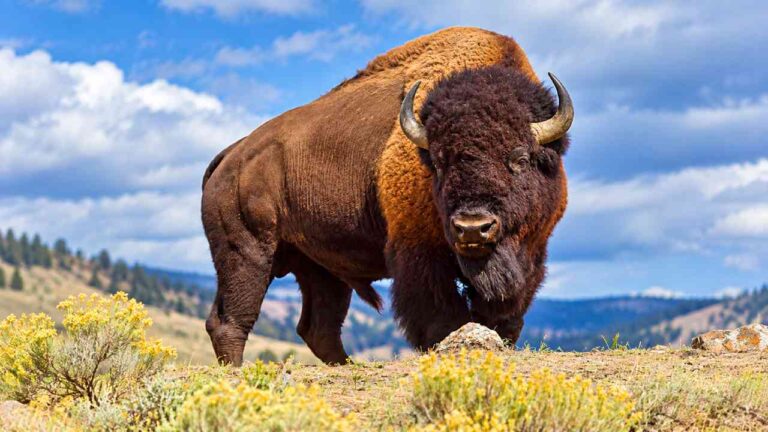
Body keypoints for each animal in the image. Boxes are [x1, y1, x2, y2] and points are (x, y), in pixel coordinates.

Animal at [201, 27, 573, 365]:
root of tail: (232, 155)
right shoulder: (419, 255)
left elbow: (505, 314)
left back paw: (348, 365)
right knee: (230, 320)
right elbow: (440, 316)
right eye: (439, 161)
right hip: (247, 255)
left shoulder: (531, 255)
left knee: (318, 327)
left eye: (520, 158)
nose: (472, 227)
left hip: (319, 269)